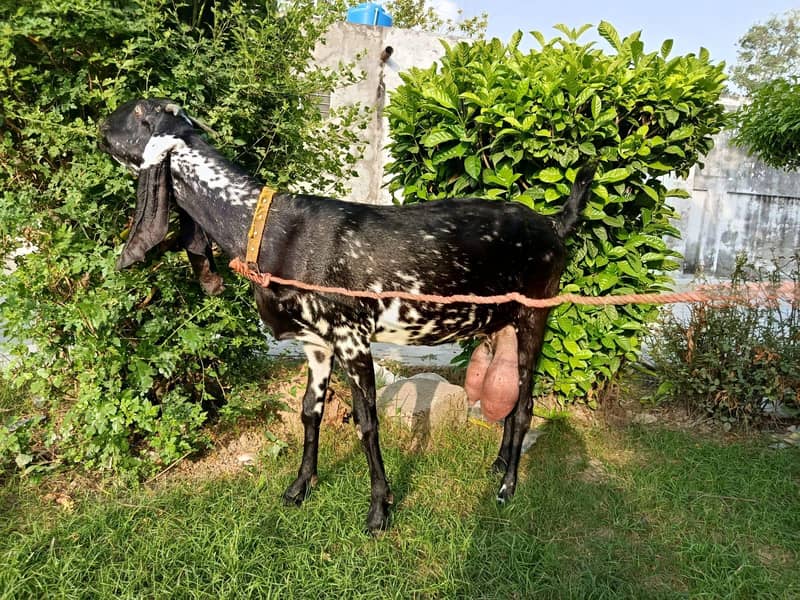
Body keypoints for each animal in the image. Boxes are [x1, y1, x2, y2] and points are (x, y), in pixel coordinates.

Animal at [99, 98, 596, 532]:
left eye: (136, 111)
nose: (100, 125)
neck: (273, 229)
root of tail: (553, 224)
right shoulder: (317, 344)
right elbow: (309, 412)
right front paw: (300, 487)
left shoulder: (353, 339)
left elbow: (368, 424)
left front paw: (380, 509)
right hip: (500, 326)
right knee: (508, 399)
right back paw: (497, 465)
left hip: (534, 317)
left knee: (525, 406)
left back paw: (507, 488)